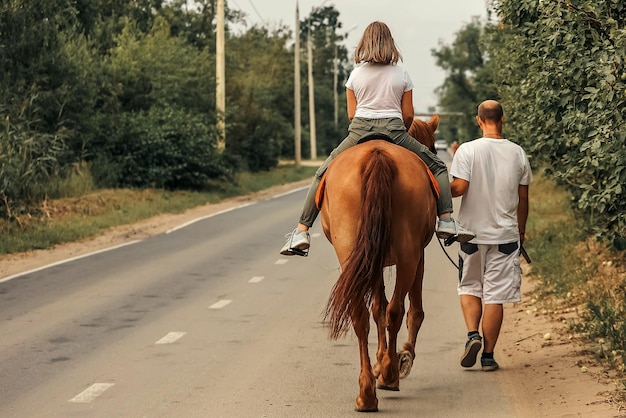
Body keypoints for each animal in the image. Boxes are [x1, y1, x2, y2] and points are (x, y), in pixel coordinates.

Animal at [320, 114, 436, 412]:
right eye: (431, 145)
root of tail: (378, 154)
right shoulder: (418, 257)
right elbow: (410, 310)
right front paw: (398, 358)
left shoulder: (372, 259)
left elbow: (377, 309)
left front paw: (384, 361)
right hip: (407, 257)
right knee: (395, 311)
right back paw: (390, 375)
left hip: (353, 252)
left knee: (361, 315)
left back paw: (367, 393)